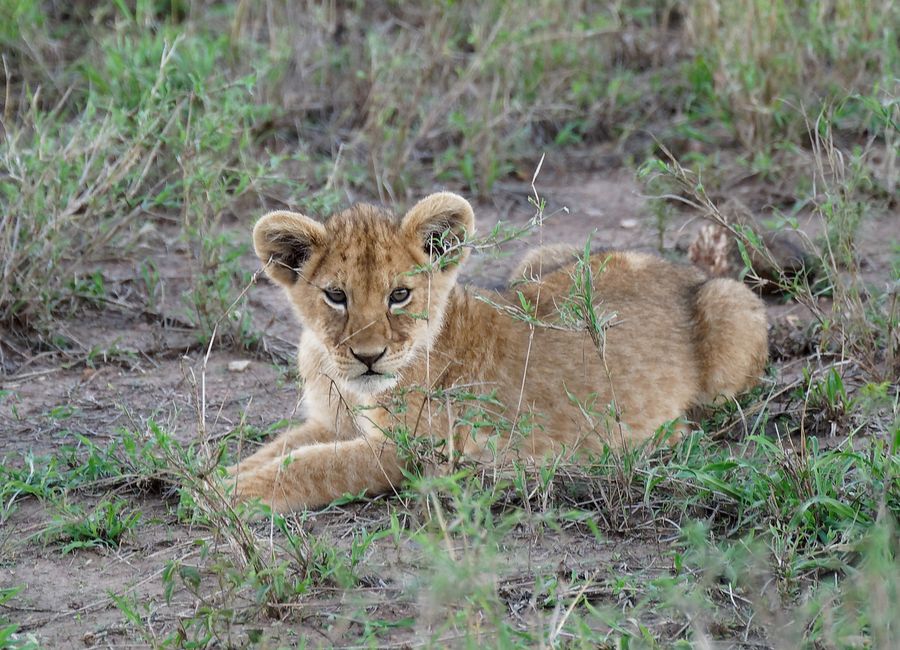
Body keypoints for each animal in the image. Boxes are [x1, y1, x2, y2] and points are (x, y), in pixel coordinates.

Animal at [229, 192, 768, 512]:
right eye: (335, 296)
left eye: (399, 295)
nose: (369, 356)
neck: (345, 381)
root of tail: (682, 271)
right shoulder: (330, 424)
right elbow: (278, 449)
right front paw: (219, 475)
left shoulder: (412, 450)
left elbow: (316, 466)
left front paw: (231, 493)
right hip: (539, 259)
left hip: (729, 310)